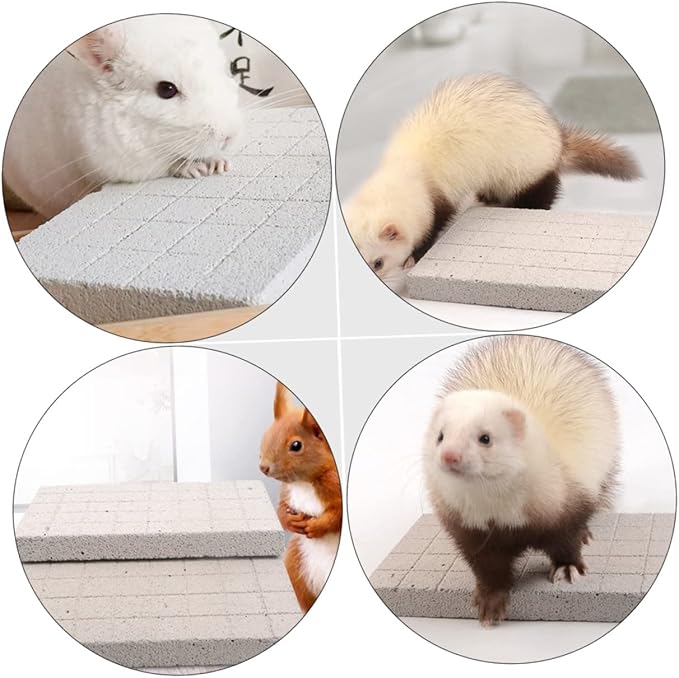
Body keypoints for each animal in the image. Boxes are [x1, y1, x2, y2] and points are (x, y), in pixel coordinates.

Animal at [4, 15, 243, 219]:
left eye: (225, 70)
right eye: (166, 89)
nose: (229, 136)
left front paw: (220, 163)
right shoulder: (116, 159)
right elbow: (167, 163)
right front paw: (195, 168)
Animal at [259, 383, 342, 612]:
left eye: (296, 446)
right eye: (267, 435)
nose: (263, 467)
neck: (304, 482)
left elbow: (337, 516)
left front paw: (316, 526)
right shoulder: (287, 492)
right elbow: (279, 511)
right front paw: (290, 521)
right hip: (296, 567)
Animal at [344, 73, 640, 286]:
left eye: (378, 262)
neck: (408, 166)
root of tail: (558, 141)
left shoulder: (439, 203)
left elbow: (434, 229)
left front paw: (413, 258)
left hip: (528, 172)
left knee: (545, 192)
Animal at [423, 335, 619, 626]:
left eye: (485, 438)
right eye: (440, 435)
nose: (450, 455)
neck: (503, 514)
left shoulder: (565, 503)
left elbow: (567, 540)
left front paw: (568, 567)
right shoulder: (468, 531)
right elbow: (487, 567)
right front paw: (490, 599)